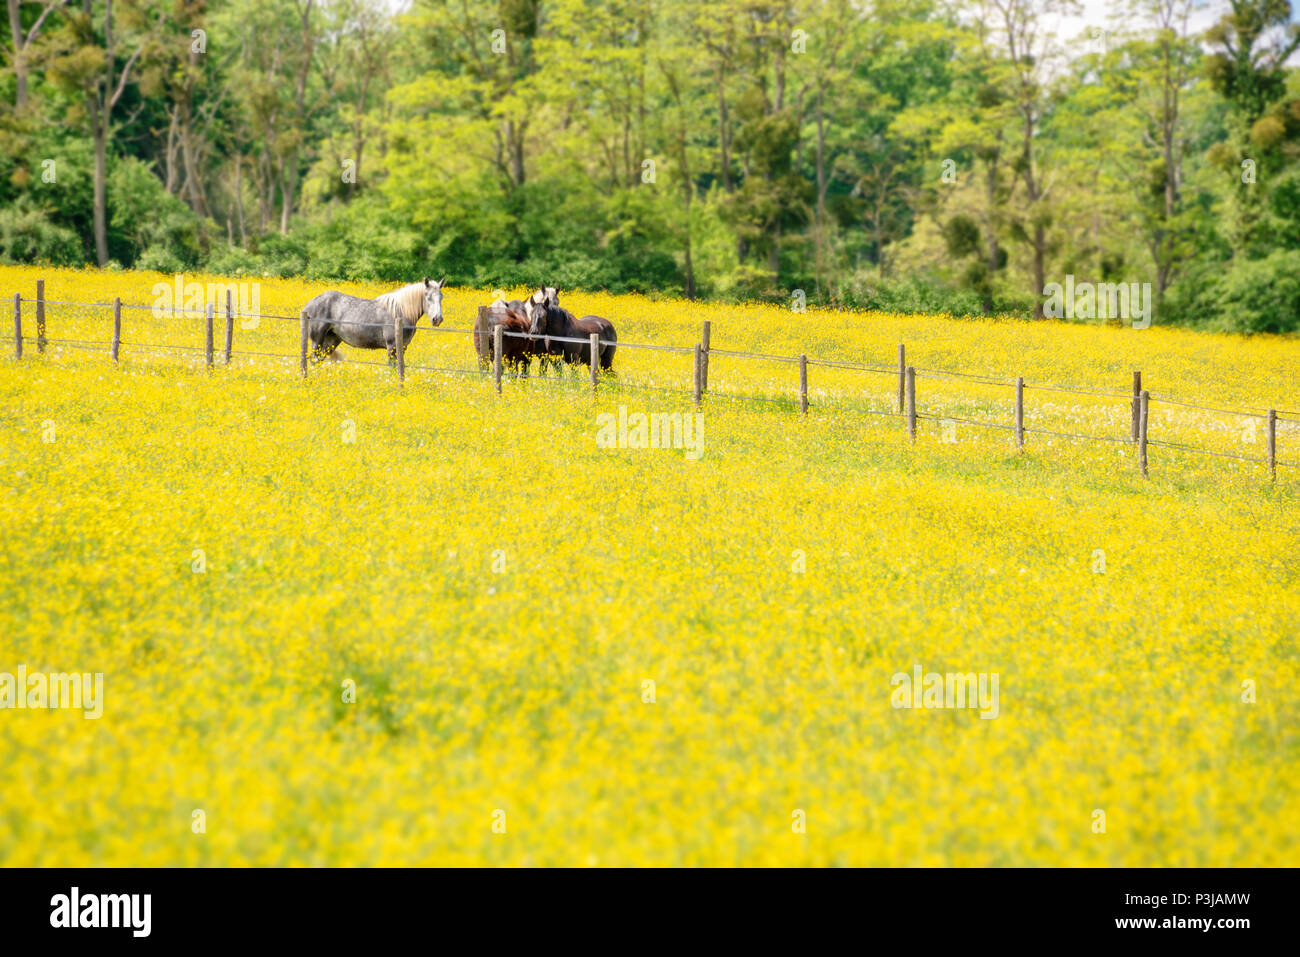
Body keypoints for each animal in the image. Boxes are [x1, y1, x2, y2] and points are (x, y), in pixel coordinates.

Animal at [299, 277, 445, 366]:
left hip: (331, 340)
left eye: (441, 297)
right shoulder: (392, 346)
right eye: (428, 297)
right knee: (314, 359)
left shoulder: (403, 346)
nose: (437, 319)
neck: (400, 311)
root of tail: (309, 305)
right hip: (317, 340)